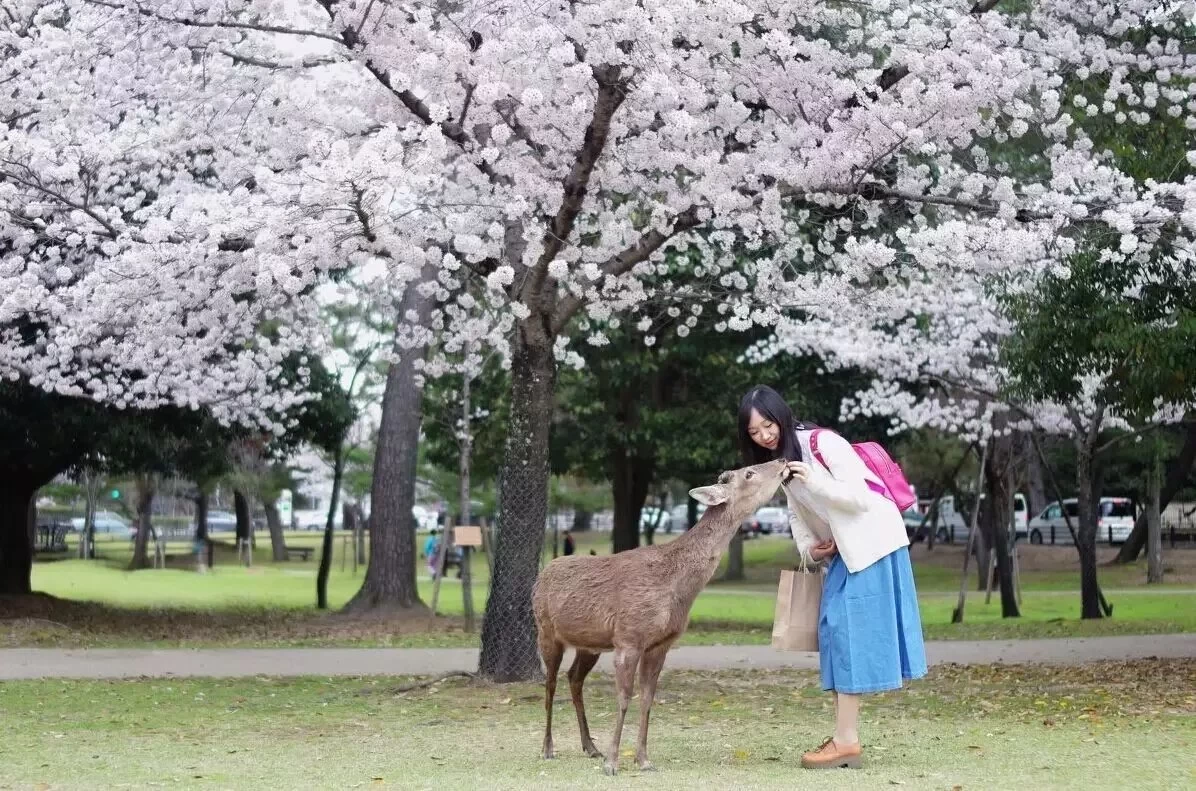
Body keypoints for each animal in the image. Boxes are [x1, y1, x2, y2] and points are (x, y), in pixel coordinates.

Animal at [533, 459, 794, 775]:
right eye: (749, 473)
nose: (782, 461)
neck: (677, 589)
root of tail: (540, 576)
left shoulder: (661, 644)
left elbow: (647, 699)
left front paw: (643, 760)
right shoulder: (629, 637)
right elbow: (623, 697)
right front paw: (613, 763)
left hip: (590, 644)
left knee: (573, 678)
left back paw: (591, 747)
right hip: (545, 630)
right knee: (550, 683)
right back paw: (548, 749)